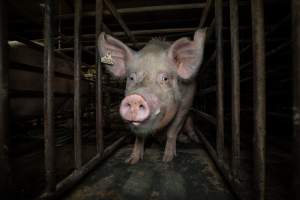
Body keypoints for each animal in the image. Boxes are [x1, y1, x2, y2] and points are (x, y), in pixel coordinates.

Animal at [98, 29, 206, 164]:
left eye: (165, 78)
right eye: (131, 77)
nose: (135, 98)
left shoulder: (186, 103)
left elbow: (172, 131)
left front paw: (167, 159)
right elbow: (139, 137)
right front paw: (131, 160)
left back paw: (191, 140)